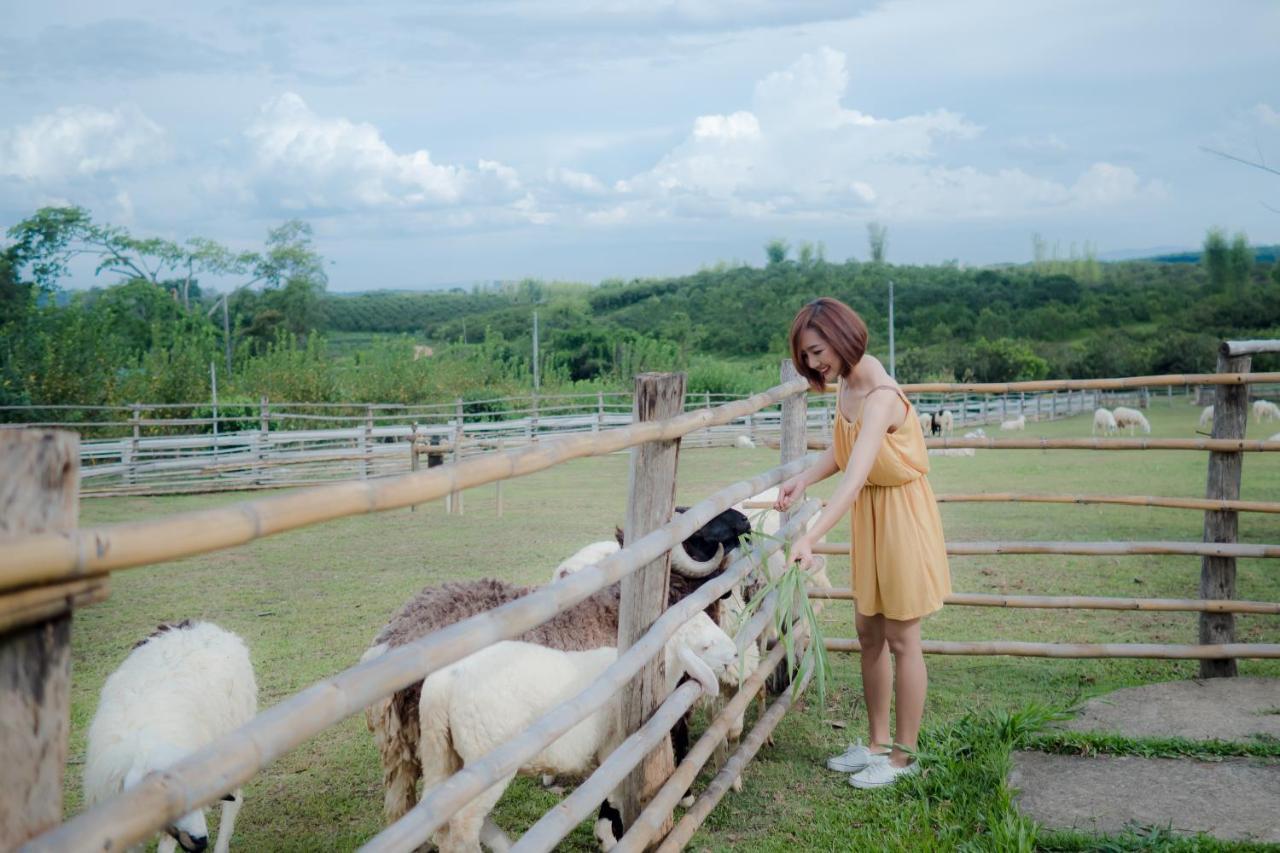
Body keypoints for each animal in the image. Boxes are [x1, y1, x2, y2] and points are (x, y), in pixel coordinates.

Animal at [419, 612, 742, 850]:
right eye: (704, 646)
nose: (736, 654)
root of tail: (444, 684)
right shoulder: (614, 749)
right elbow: (614, 797)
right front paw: (610, 838)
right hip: (485, 760)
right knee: (463, 826)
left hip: (442, 755)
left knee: (442, 825)